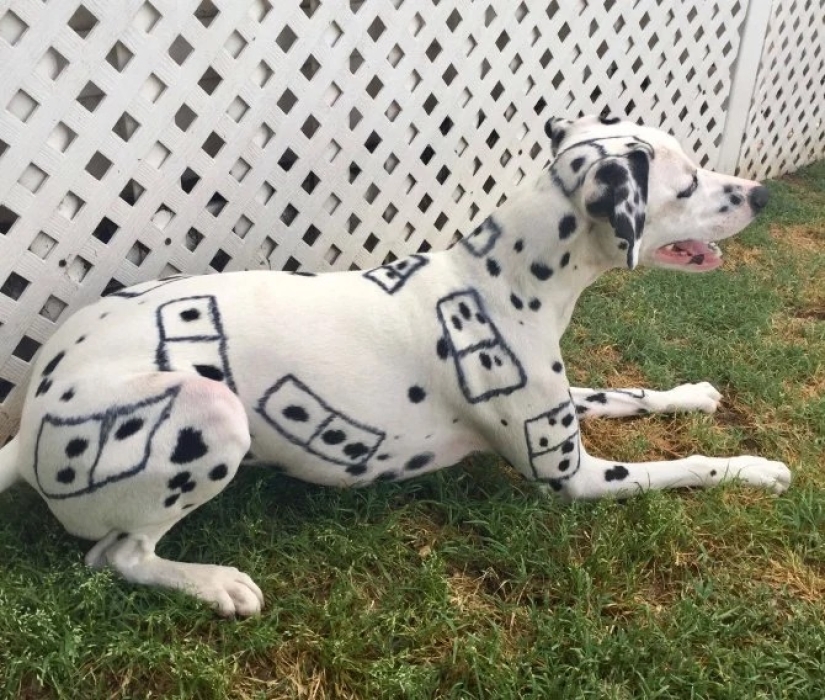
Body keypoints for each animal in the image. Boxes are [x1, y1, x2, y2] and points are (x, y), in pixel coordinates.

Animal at [0, 117, 788, 616]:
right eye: (686, 183)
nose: (760, 194)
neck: (499, 277)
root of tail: (30, 417)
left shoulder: (564, 405)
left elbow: (632, 394)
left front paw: (693, 394)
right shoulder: (574, 478)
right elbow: (688, 466)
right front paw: (755, 466)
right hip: (206, 411)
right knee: (120, 557)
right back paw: (215, 584)